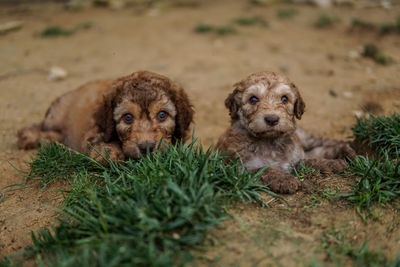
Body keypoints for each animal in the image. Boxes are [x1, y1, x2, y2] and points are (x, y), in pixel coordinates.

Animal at [16, 70, 195, 163]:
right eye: (127, 117)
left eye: (162, 115)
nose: (146, 147)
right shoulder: (94, 132)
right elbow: (100, 146)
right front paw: (111, 153)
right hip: (56, 114)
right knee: (43, 127)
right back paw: (29, 136)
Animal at [217, 71, 354, 195]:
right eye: (253, 99)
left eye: (284, 99)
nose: (272, 119)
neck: (270, 142)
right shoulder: (236, 170)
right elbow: (264, 170)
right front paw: (284, 180)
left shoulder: (294, 158)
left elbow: (310, 160)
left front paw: (330, 163)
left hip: (304, 138)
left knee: (321, 143)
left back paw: (347, 149)